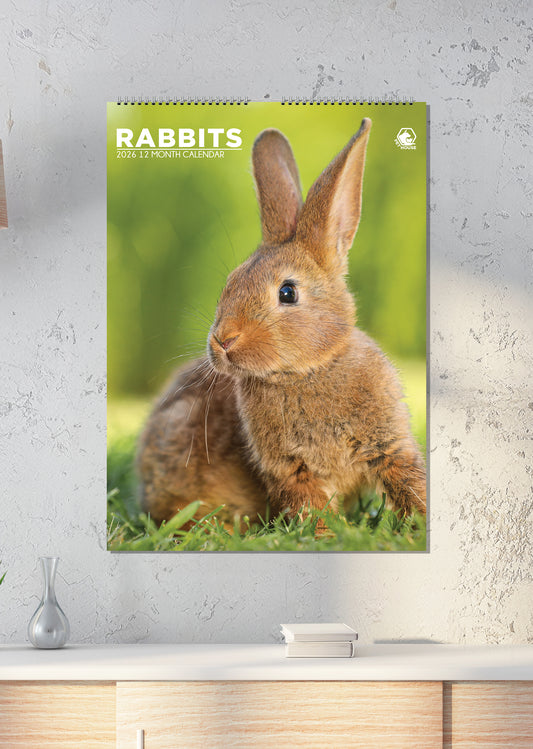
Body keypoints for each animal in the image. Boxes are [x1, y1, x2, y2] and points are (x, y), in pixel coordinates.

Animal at [137, 118, 426, 529]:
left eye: (287, 292)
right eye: (230, 284)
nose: (222, 341)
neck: (308, 371)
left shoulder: (390, 446)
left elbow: (409, 483)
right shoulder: (291, 469)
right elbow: (308, 506)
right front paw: (325, 535)